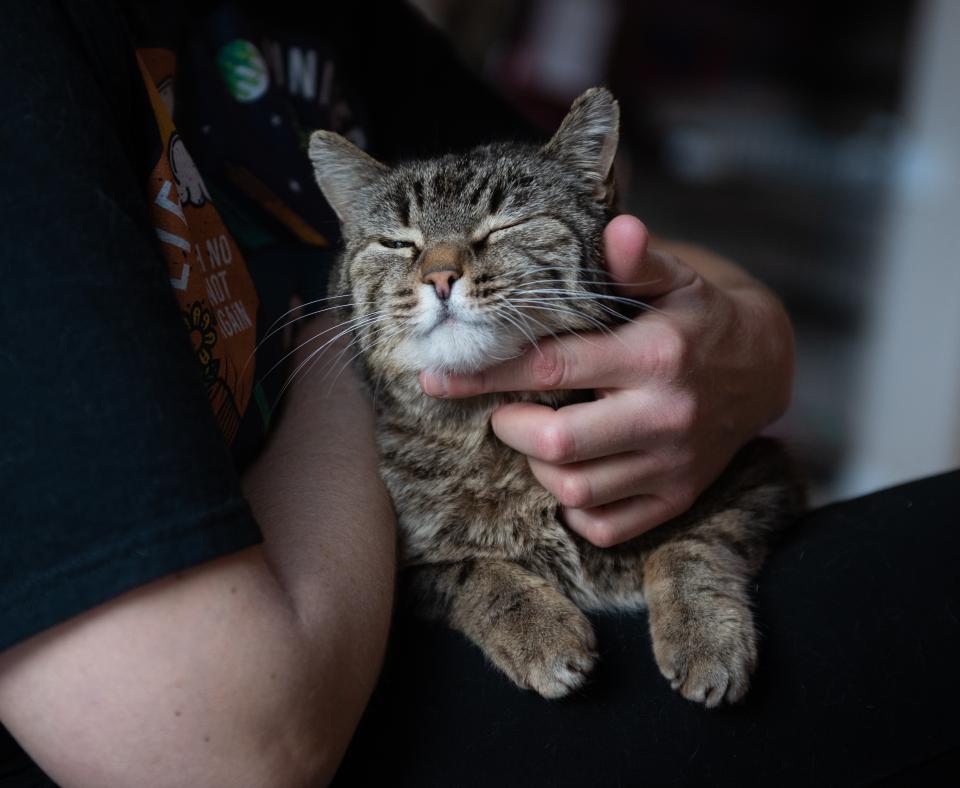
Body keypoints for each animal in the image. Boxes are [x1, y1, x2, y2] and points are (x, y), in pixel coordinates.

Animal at [308, 89, 804, 704]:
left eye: (506, 224)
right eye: (398, 243)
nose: (440, 276)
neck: (489, 432)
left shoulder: (763, 477)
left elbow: (695, 546)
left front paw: (704, 635)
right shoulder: (406, 577)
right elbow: (473, 571)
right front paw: (539, 631)